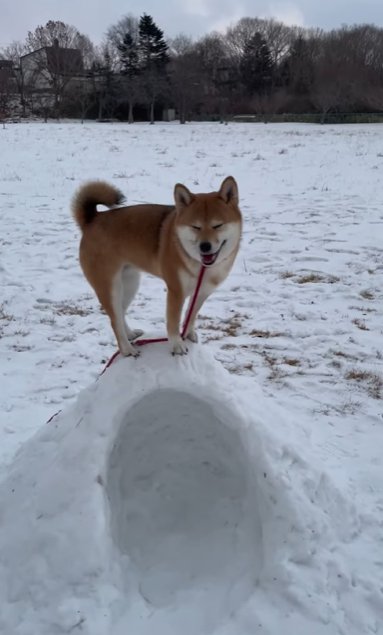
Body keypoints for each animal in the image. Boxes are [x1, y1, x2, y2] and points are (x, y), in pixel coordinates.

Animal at [70, 178, 242, 358]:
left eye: (218, 225)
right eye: (195, 227)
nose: (205, 246)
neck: (201, 266)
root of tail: (92, 220)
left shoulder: (202, 292)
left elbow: (191, 315)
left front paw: (188, 334)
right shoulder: (176, 292)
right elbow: (173, 322)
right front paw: (177, 345)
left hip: (129, 283)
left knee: (120, 312)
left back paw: (130, 334)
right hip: (110, 287)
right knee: (114, 321)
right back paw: (127, 349)